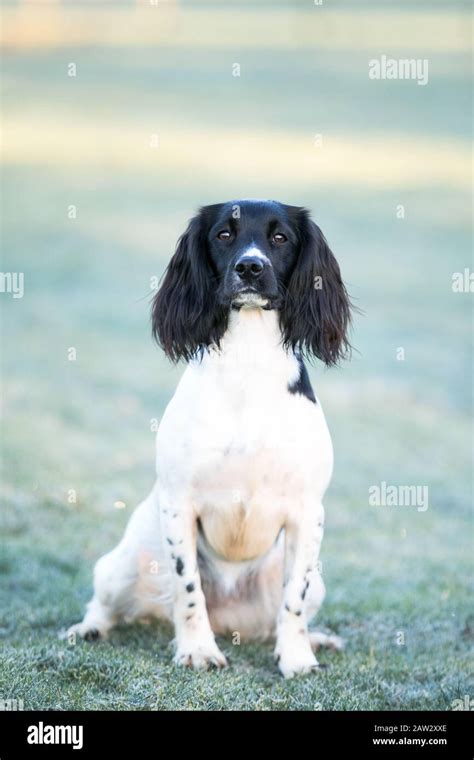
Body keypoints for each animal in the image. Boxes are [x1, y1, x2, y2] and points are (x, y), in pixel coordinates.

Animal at [69, 200, 352, 676]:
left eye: (280, 237)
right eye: (223, 234)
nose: (250, 267)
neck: (248, 362)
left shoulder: (307, 512)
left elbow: (292, 601)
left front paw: (296, 657)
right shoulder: (179, 502)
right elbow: (188, 588)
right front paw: (198, 649)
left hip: (316, 585)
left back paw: (317, 638)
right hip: (124, 563)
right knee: (107, 602)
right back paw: (88, 628)